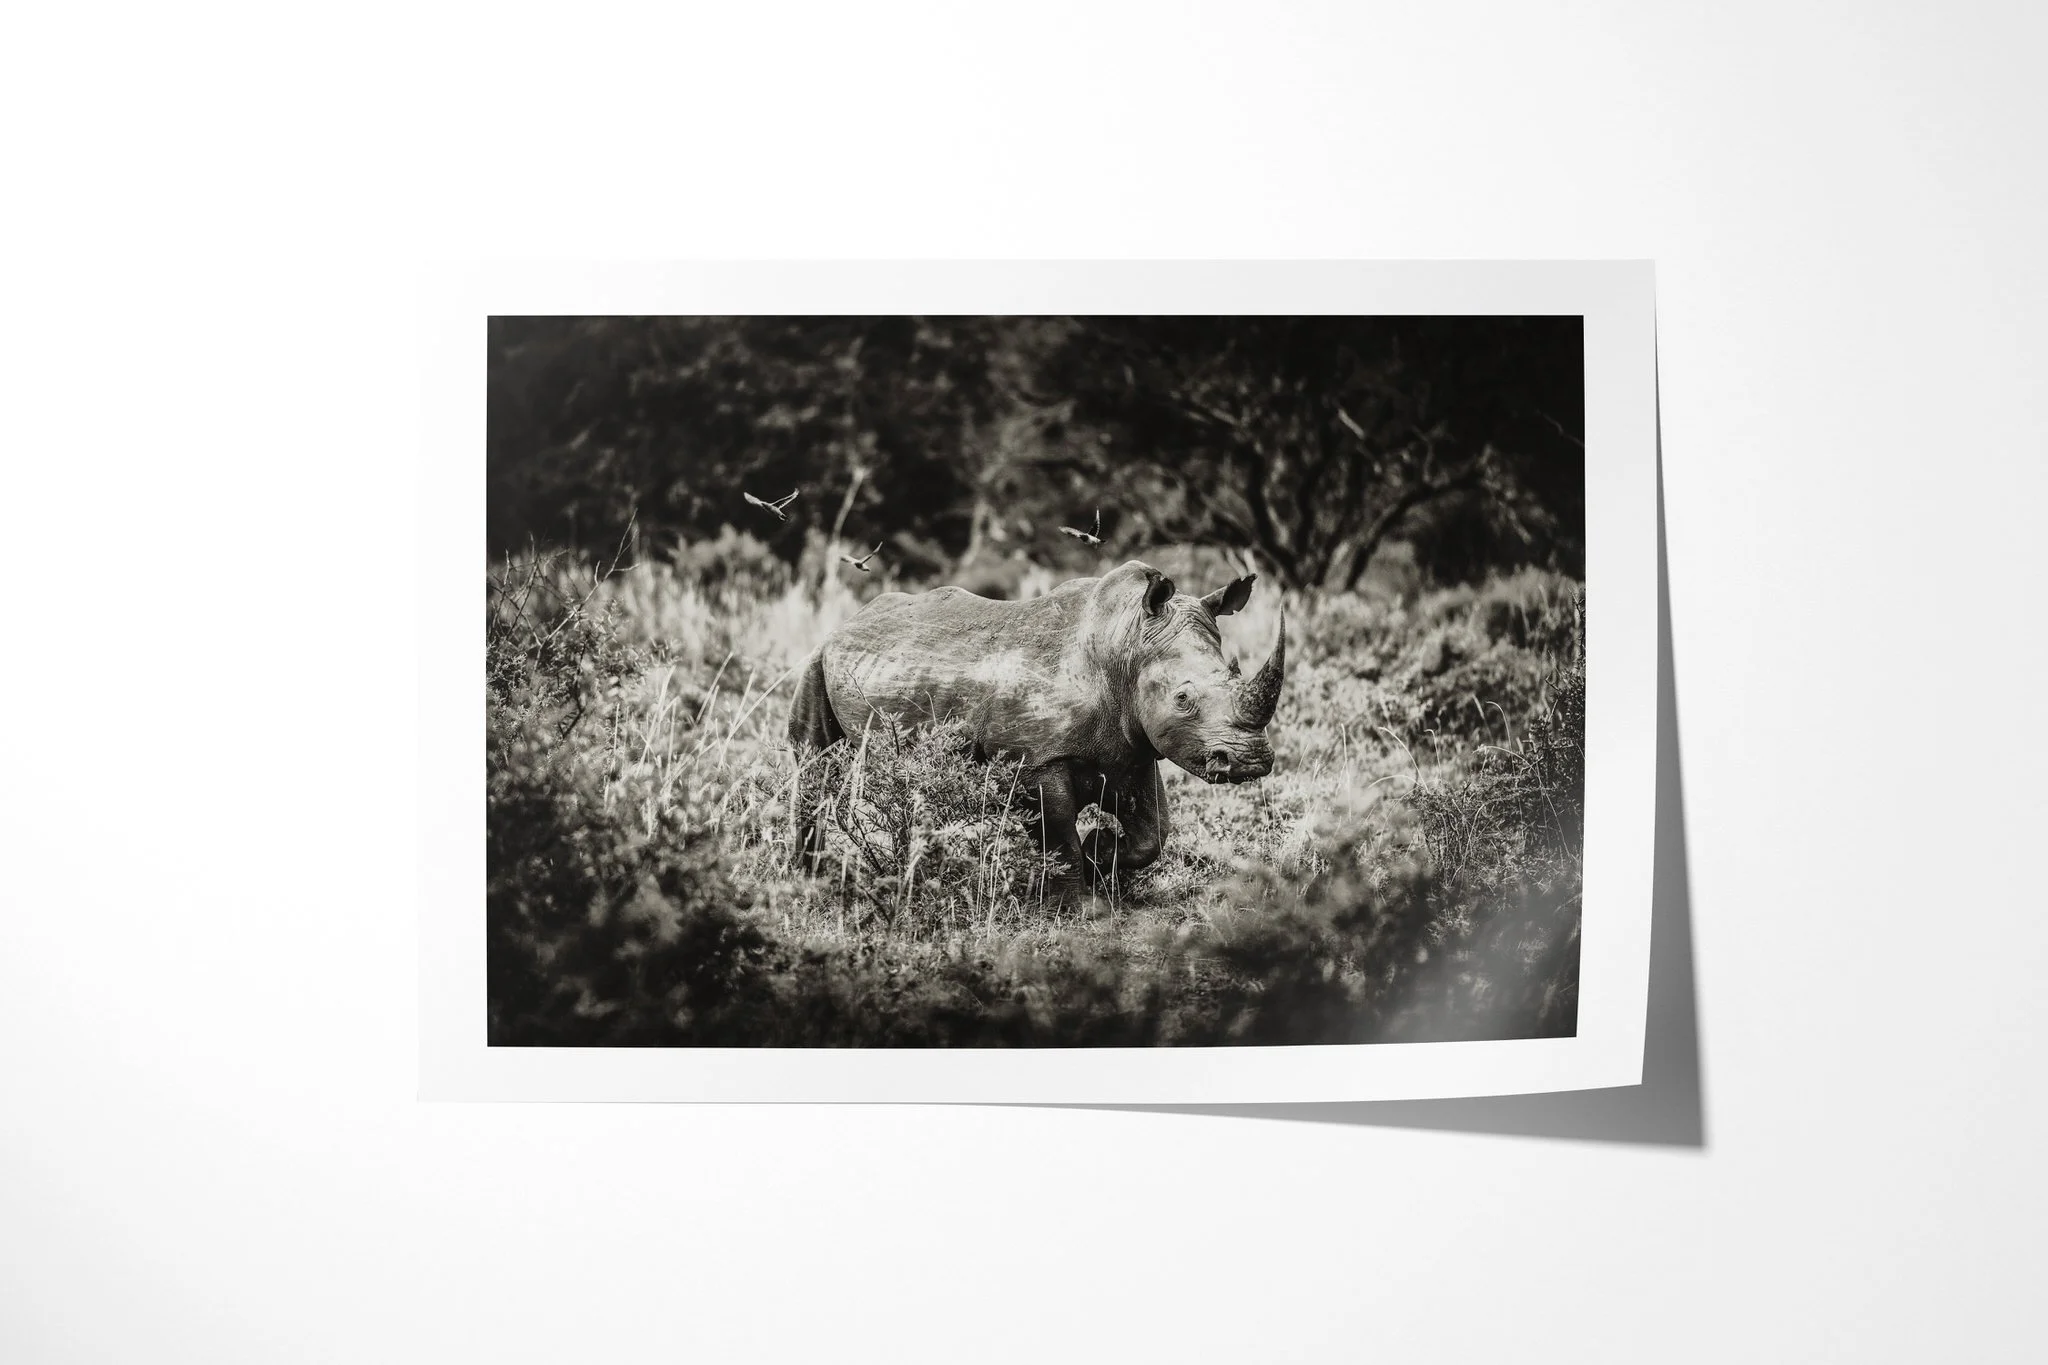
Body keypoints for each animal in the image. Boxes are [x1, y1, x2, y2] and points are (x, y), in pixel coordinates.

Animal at [786, 560, 1285, 888]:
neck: (1126, 645)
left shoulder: (1133, 750)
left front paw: (1101, 849)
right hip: (817, 659)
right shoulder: (1036, 760)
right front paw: (1079, 904)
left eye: (1236, 673)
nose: (1251, 761)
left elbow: (1153, 832)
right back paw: (814, 876)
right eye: (1183, 699)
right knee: (814, 762)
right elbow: (1058, 835)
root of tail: (853, 619)